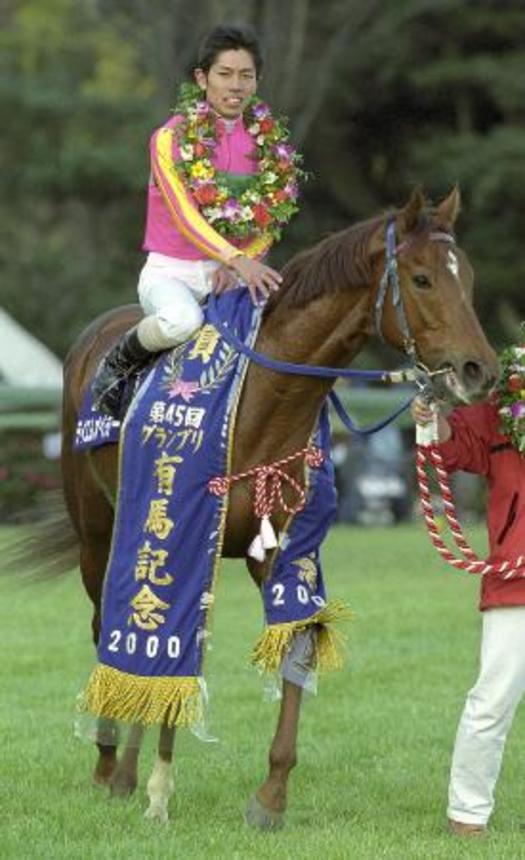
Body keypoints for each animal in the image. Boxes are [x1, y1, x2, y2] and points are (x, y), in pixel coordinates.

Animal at [30, 186, 498, 829]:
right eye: (423, 278)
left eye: (468, 277)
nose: (482, 370)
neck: (262, 402)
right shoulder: (178, 527)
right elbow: (169, 646)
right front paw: (153, 786)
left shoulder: (282, 549)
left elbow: (294, 643)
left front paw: (270, 794)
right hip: (98, 531)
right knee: (107, 625)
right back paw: (109, 764)